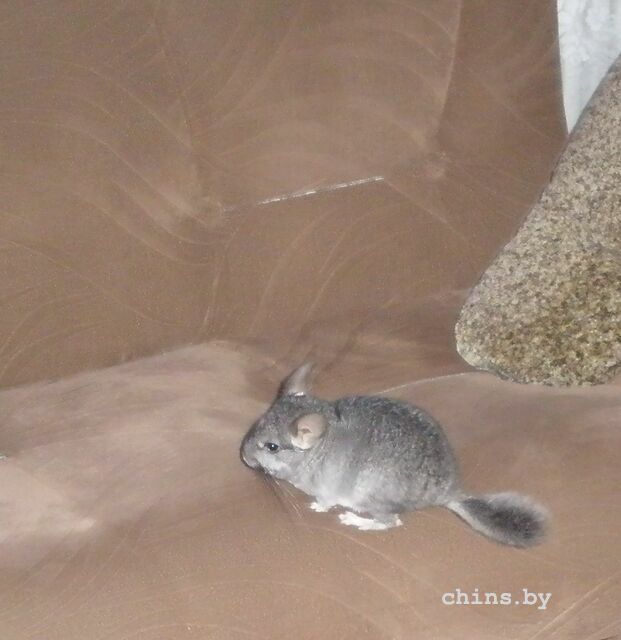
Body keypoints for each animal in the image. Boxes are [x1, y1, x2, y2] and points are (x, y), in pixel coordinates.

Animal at [240, 364, 548, 546]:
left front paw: (316, 507)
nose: (243, 456)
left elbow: (325, 502)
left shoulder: (328, 489)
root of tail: (446, 493)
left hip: (370, 496)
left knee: (391, 522)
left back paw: (355, 520)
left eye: (271, 446)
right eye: (257, 423)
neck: (315, 451)